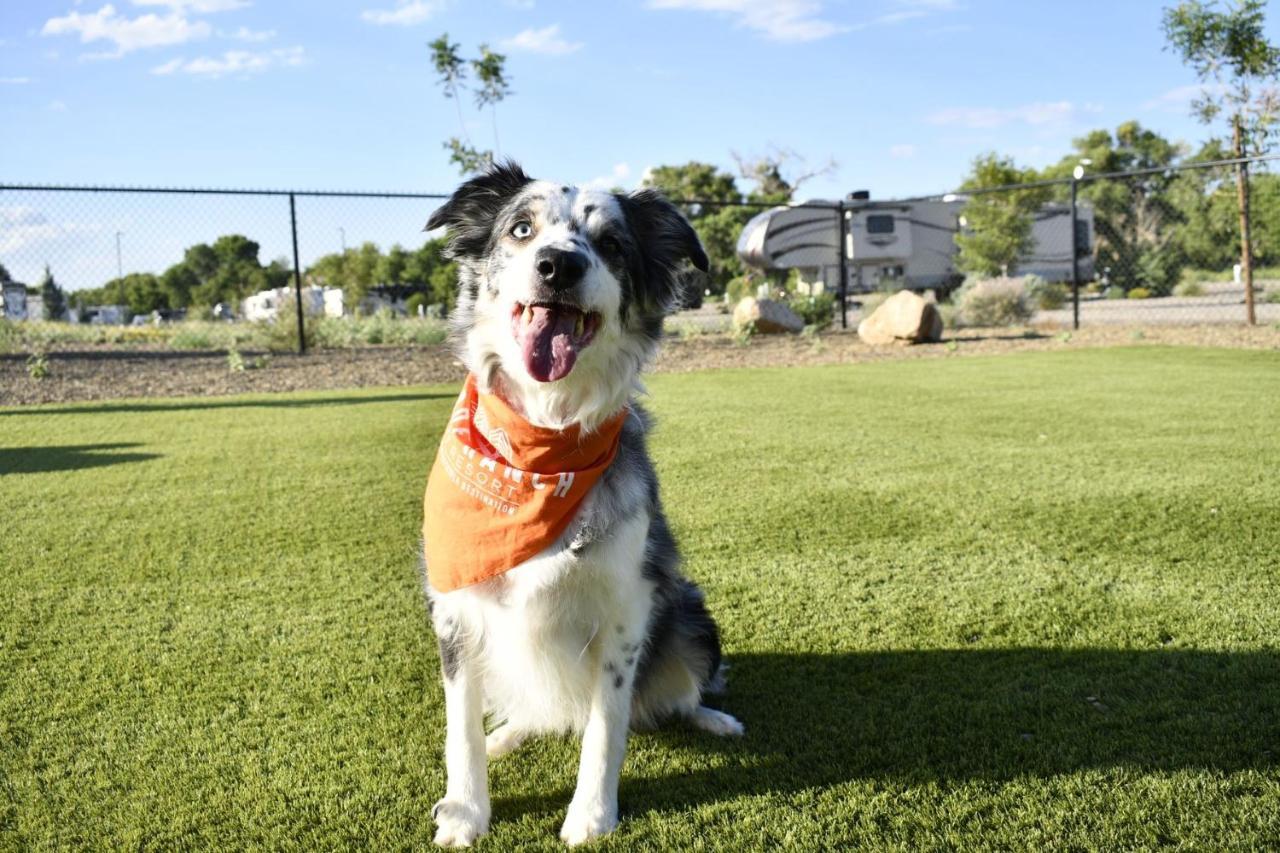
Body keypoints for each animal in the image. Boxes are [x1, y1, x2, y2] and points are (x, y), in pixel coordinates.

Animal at [419, 161, 742, 845]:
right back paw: (508, 734)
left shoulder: (626, 608)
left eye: (613, 243)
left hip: (692, 614)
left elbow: (605, 729)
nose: (557, 265)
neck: (543, 442)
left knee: (676, 695)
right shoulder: (455, 611)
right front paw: (465, 812)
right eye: (521, 228)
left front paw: (592, 816)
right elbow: (459, 731)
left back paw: (713, 719)